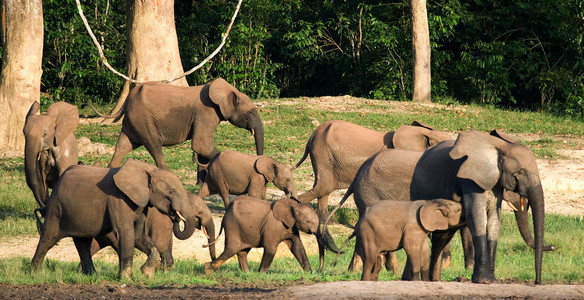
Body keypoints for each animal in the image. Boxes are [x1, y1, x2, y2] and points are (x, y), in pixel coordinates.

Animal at [32, 159, 201, 278]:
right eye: (171, 192)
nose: (176, 217)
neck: (148, 170)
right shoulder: (118, 200)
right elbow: (126, 234)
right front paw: (127, 279)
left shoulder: (141, 204)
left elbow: (139, 236)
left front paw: (147, 273)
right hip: (56, 208)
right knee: (48, 238)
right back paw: (35, 272)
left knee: (83, 244)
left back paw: (92, 275)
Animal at [82, 77, 264, 177]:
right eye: (250, 113)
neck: (227, 90)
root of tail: (126, 100)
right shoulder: (206, 112)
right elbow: (201, 144)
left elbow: (202, 147)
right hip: (143, 119)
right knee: (154, 144)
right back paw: (168, 173)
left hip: (131, 121)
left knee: (123, 145)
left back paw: (110, 170)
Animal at [410, 129, 548, 284]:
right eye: (520, 173)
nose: (537, 282)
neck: (500, 147)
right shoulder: (469, 179)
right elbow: (477, 217)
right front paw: (484, 280)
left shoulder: (496, 183)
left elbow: (494, 220)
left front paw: (492, 280)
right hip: (417, 190)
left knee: (441, 237)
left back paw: (434, 280)